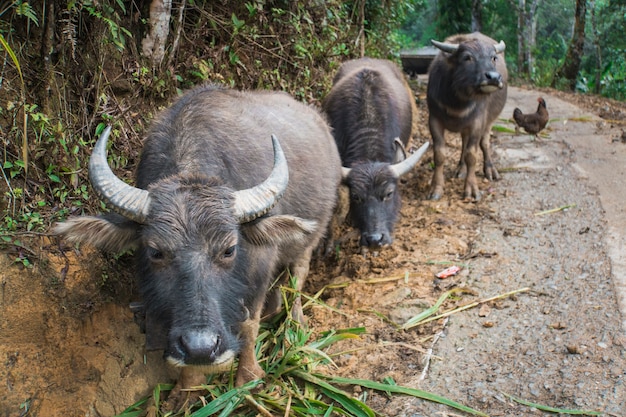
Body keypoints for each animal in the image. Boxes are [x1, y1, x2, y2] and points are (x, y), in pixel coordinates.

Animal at [54, 85, 342, 406]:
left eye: (229, 249)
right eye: (156, 252)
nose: (202, 346)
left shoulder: (259, 267)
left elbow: (249, 324)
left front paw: (247, 377)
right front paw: (185, 390)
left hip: (311, 237)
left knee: (297, 275)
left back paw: (295, 322)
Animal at [424, 31, 508, 200]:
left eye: (493, 57)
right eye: (467, 57)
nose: (494, 77)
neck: (457, 101)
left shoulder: (477, 122)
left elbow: (472, 155)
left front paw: (472, 189)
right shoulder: (434, 120)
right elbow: (439, 154)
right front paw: (436, 188)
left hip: (489, 121)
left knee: (484, 143)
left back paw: (490, 170)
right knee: (463, 143)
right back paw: (461, 169)